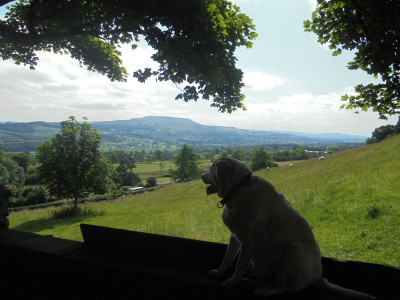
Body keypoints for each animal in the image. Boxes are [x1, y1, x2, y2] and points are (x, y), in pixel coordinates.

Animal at [203, 157, 376, 298]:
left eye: (211, 167)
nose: (201, 175)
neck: (238, 189)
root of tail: (318, 278)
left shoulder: (248, 240)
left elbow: (239, 264)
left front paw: (232, 282)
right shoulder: (235, 236)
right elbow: (227, 257)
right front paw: (219, 272)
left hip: (294, 251)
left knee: (286, 287)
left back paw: (266, 290)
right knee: (269, 280)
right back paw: (254, 282)